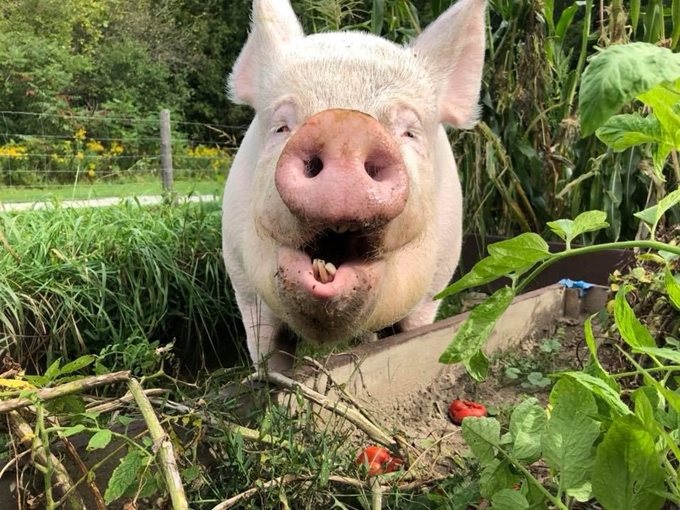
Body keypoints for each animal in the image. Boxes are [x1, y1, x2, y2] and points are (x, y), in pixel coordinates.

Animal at [224, 0, 488, 372]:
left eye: (409, 132)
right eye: (281, 126)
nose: (343, 126)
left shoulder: (432, 290)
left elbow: (411, 334)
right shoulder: (243, 286)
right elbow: (269, 354)